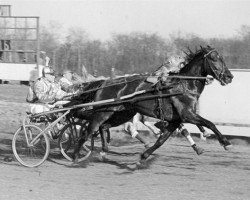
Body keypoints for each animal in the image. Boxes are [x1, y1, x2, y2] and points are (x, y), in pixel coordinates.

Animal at [68, 46, 232, 163]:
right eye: (213, 58)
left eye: (222, 58)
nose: (229, 76)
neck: (183, 84)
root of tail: (104, 82)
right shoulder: (187, 114)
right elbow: (210, 123)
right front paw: (225, 142)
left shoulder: (176, 120)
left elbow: (161, 141)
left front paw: (143, 157)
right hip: (103, 113)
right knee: (88, 131)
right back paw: (75, 156)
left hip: (122, 113)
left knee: (103, 127)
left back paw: (103, 150)